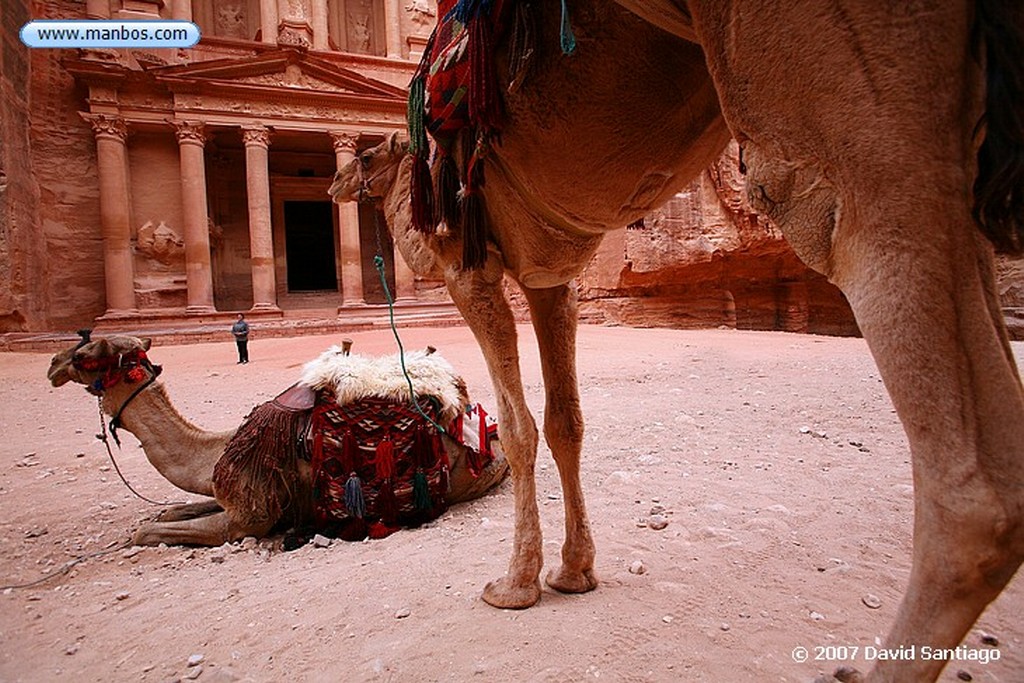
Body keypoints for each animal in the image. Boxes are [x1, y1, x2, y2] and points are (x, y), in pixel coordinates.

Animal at [47, 333, 507, 548]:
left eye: (86, 356)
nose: (53, 364)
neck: (214, 450)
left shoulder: (248, 519)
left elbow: (146, 533)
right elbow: (173, 511)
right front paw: (169, 511)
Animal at [329, 2, 1024, 679]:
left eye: (364, 158)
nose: (333, 185)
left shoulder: (469, 269)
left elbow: (520, 427)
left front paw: (515, 584)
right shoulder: (552, 278)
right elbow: (566, 422)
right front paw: (574, 571)